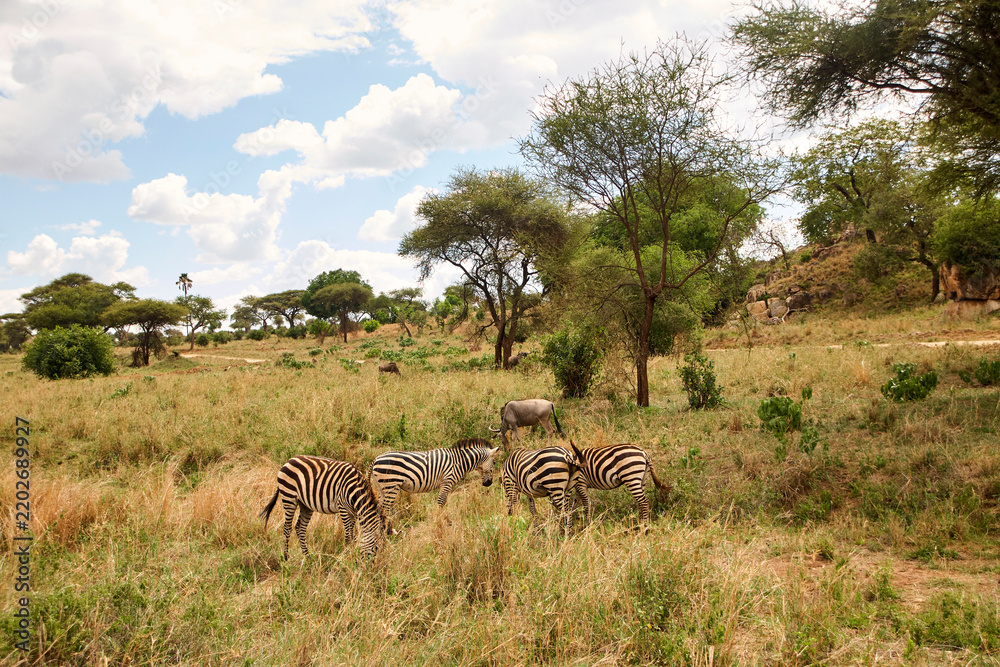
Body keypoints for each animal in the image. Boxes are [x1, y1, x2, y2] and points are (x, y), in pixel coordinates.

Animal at [369, 438, 500, 534]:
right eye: (494, 462)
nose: (488, 483)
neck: (459, 462)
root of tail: (375, 459)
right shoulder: (447, 481)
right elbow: (441, 502)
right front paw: (440, 522)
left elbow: (443, 502)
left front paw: (446, 521)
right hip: (391, 485)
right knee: (384, 509)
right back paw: (388, 532)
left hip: (382, 487)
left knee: (380, 509)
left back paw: (385, 531)